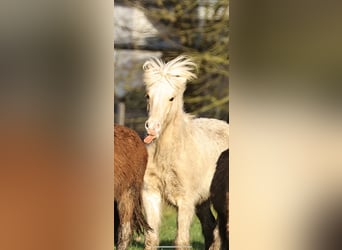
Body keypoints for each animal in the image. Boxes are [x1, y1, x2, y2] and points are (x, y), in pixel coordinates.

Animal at [142, 56, 230, 250]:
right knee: (210, 226)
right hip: (204, 201)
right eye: (148, 96)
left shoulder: (185, 200)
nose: (152, 128)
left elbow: (181, 241)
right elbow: (151, 238)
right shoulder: (151, 194)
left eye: (171, 98)